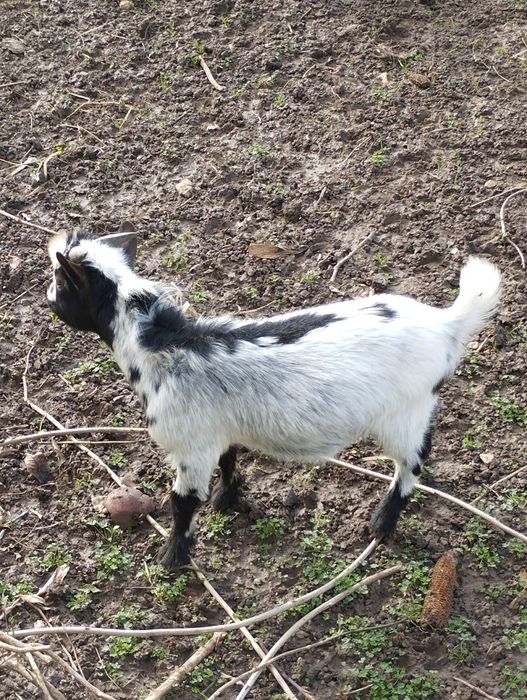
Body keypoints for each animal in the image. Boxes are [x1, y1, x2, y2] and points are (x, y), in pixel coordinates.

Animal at [47, 230, 502, 569]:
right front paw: (227, 501)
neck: (161, 346)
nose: (48, 300)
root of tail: (445, 324)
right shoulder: (216, 432)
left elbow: (182, 503)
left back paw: (382, 523)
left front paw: (172, 558)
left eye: (60, 282)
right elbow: (230, 458)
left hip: (405, 414)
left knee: (413, 463)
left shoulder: (189, 447)